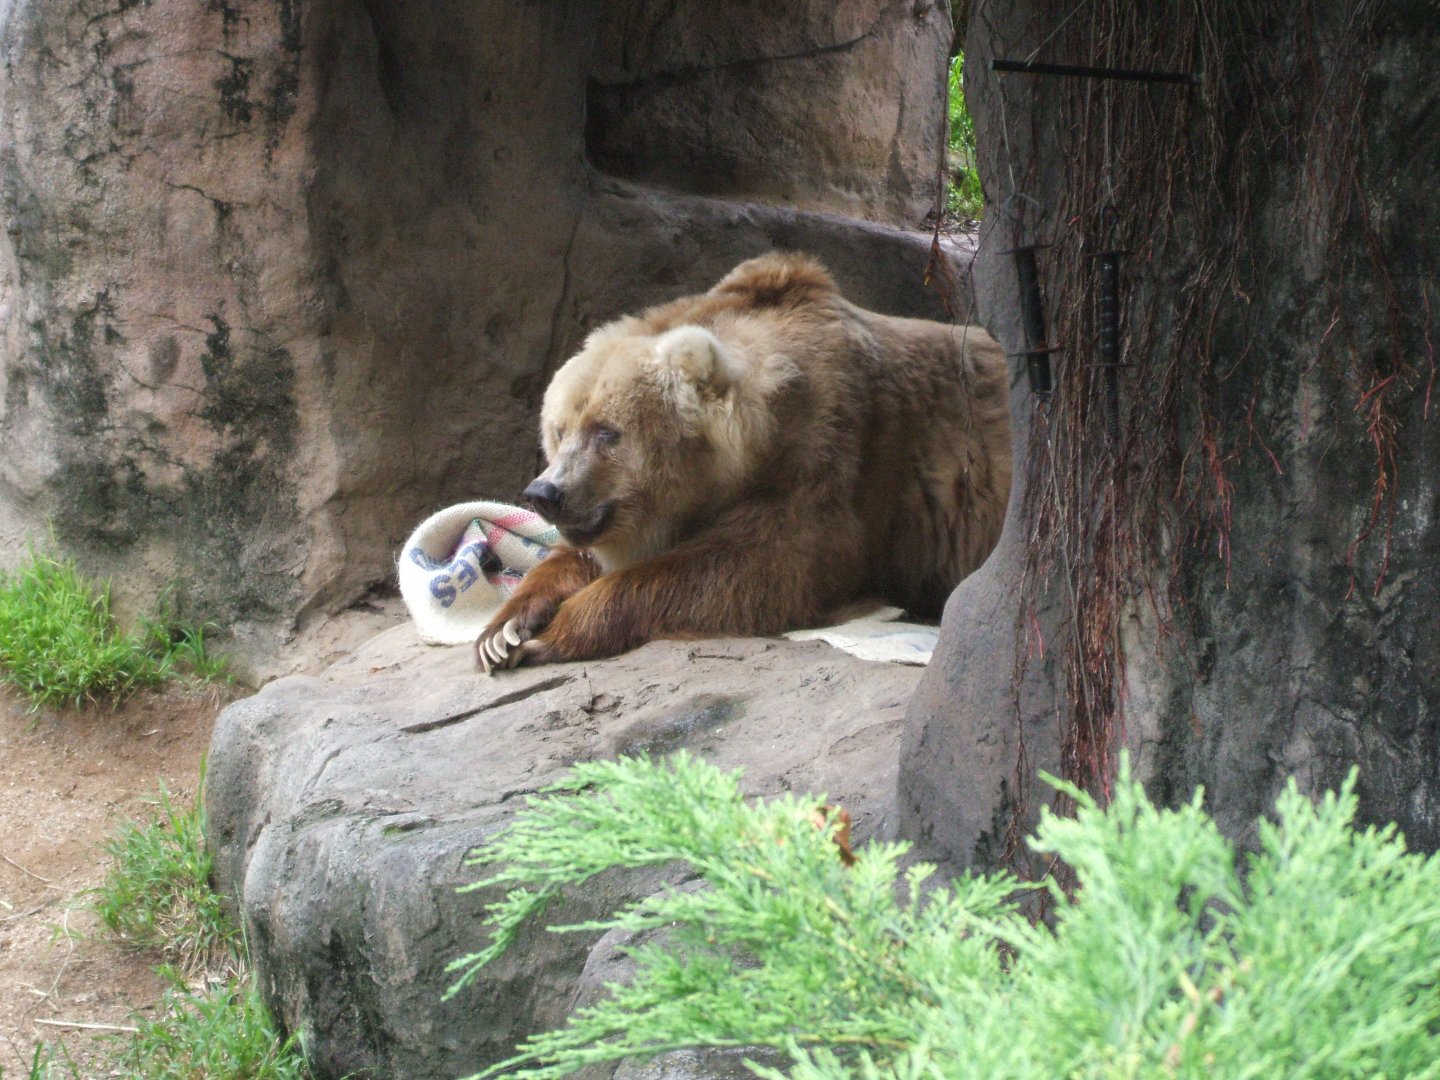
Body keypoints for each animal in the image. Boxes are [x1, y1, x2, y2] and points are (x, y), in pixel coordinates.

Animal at [476, 252, 1012, 672]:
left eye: (607, 431)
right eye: (560, 429)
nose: (545, 492)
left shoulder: (828, 458)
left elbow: (751, 569)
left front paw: (553, 633)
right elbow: (571, 556)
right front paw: (504, 632)